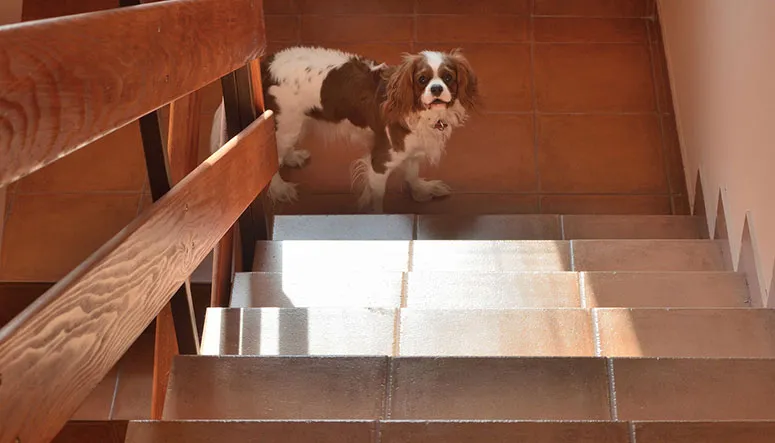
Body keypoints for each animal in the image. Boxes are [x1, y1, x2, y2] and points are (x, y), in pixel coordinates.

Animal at [212, 46, 478, 212]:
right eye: (422, 80)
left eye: (448, 78)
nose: (436, 89)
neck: (425, 114)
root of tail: (266, 64)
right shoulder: (379, 162)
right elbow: (377, 199)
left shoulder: (413, 149)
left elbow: (412, 173)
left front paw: (422, 190)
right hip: (286, 124)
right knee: (270, 159)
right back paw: (280, 189)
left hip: (294, 124)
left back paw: (292, 157)